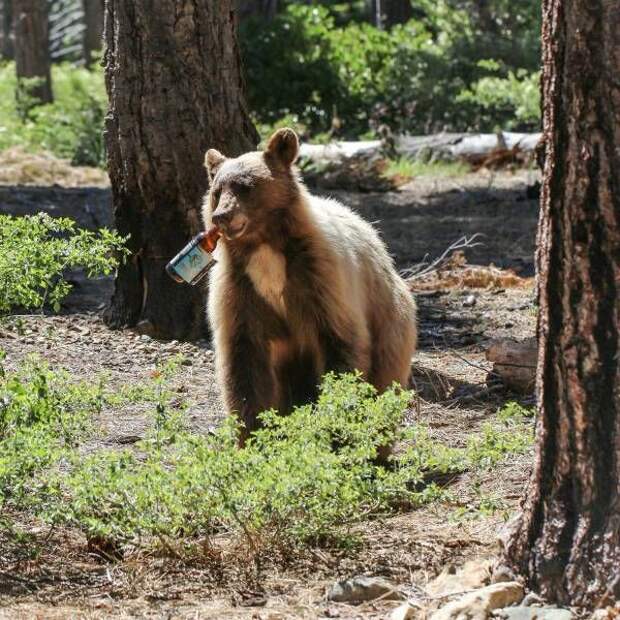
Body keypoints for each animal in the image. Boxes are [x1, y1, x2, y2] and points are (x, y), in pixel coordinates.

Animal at [202, 128, 416, 444]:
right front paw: (254, 436)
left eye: (246, 186)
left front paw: (336, 432)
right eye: (217, 190)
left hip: (389, 321)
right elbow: (244, 361)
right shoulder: (240, 288)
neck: (265, 247)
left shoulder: (319, 277)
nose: (222, 216)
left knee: (384, 384)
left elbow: (339, 343)